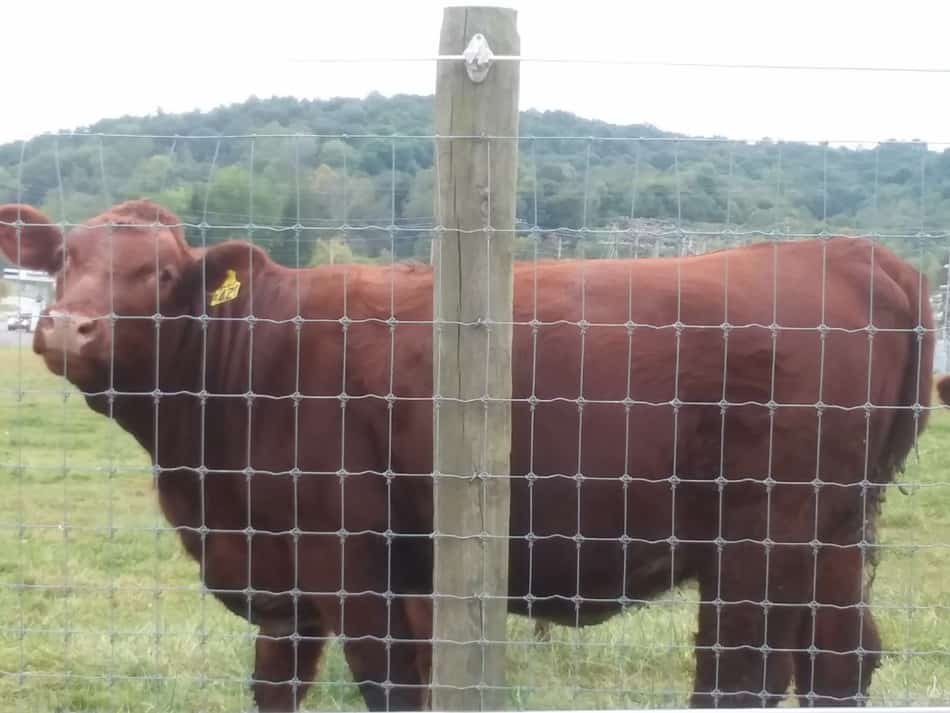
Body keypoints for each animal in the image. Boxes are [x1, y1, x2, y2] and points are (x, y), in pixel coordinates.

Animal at [0, 197, 944, 708]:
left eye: (159, 276)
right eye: (64, 260)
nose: (67, 326)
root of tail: (855, 254)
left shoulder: (358, 567)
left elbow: (391, 686)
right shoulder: (288, 587)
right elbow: (276, 688)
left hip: (757, 536)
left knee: (739, 674)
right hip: (835, 533)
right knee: (840, 662)